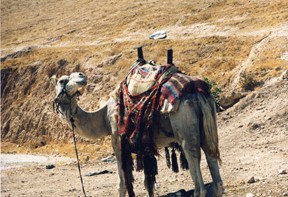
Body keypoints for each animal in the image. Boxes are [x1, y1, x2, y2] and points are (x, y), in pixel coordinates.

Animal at [52, 71, 223, 197]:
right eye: (61, 80)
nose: (82, 76)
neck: (104, 117)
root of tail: (197, 93)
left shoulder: (117, 140)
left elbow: (122, 184)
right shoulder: (145, 145)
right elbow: (148, 182)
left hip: (184, 125)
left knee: (195, 165)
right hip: (209, 122)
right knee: (212, 162)